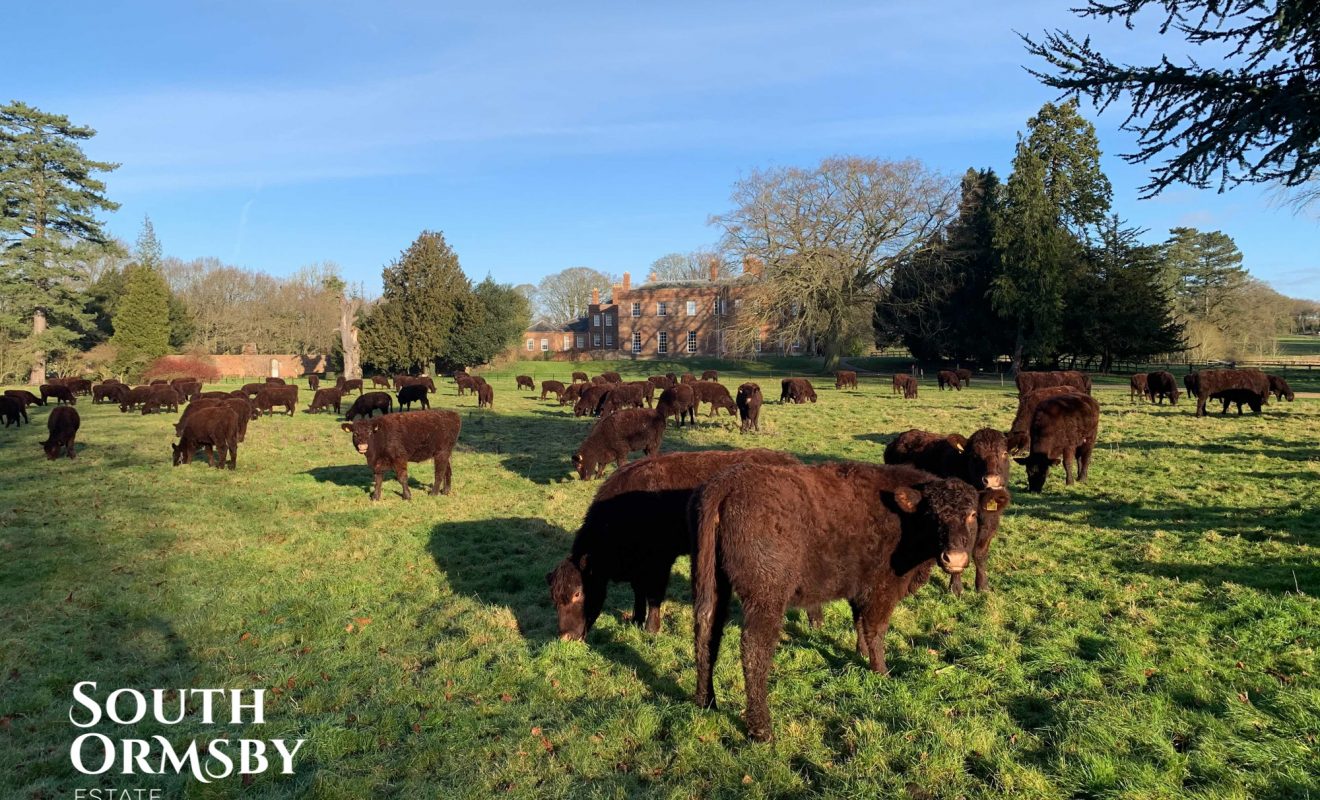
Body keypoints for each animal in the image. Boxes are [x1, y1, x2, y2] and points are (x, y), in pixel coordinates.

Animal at [543, 448, 792, 641]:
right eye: (554, 599)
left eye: (577, 593)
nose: (565, 637)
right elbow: (638, 591)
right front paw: (636, 619)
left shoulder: (659, 562)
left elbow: (654, 595)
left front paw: (651, 628)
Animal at [686, 462, 1003, 744]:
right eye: (932, 514)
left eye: (972, 514)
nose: (955, 558)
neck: (903, 519)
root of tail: (728, 483)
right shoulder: (882, 589)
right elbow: (876, 630)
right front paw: (881, 671)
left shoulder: (859, 588)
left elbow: (859, 622)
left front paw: (859, 655)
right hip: (765, 597)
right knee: (754, 649)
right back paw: (761, 729)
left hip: (712, 585)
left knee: (706, 633)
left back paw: (706, 700)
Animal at [887, 433, 1008, 596]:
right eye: (974, 455)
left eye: (1004, 453)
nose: (992, 481)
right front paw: (955, 588)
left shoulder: (990, 525)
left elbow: (980, 554)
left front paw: (982, 586)